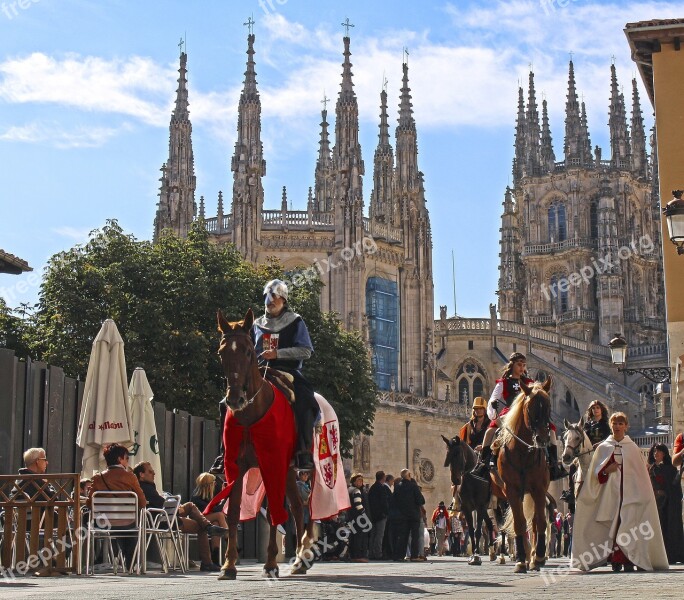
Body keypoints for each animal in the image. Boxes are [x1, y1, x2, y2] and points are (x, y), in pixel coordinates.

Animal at [214, 308, 316, 580]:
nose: (235, 399)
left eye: (249, 351)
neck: (251, 415)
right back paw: (298, 560)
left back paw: (301, 558)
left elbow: (273, 514)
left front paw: (271, 564)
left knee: (302, 509)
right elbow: (233, 511)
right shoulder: (235, 468)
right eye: (221, 352)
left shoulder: (274, 465)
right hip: (288, 473)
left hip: (298, 468)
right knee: (297, 507)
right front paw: (229, 565)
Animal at [496, 380, 556, 572]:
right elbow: (519, 523)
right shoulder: (511, 490)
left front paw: (538, 557)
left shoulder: (539, 488)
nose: (542, 439)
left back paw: (536, 556)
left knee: (536, 522)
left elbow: (540, 522)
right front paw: (521, 559)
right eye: (530, 408)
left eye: (549, 407)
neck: (523, 452)